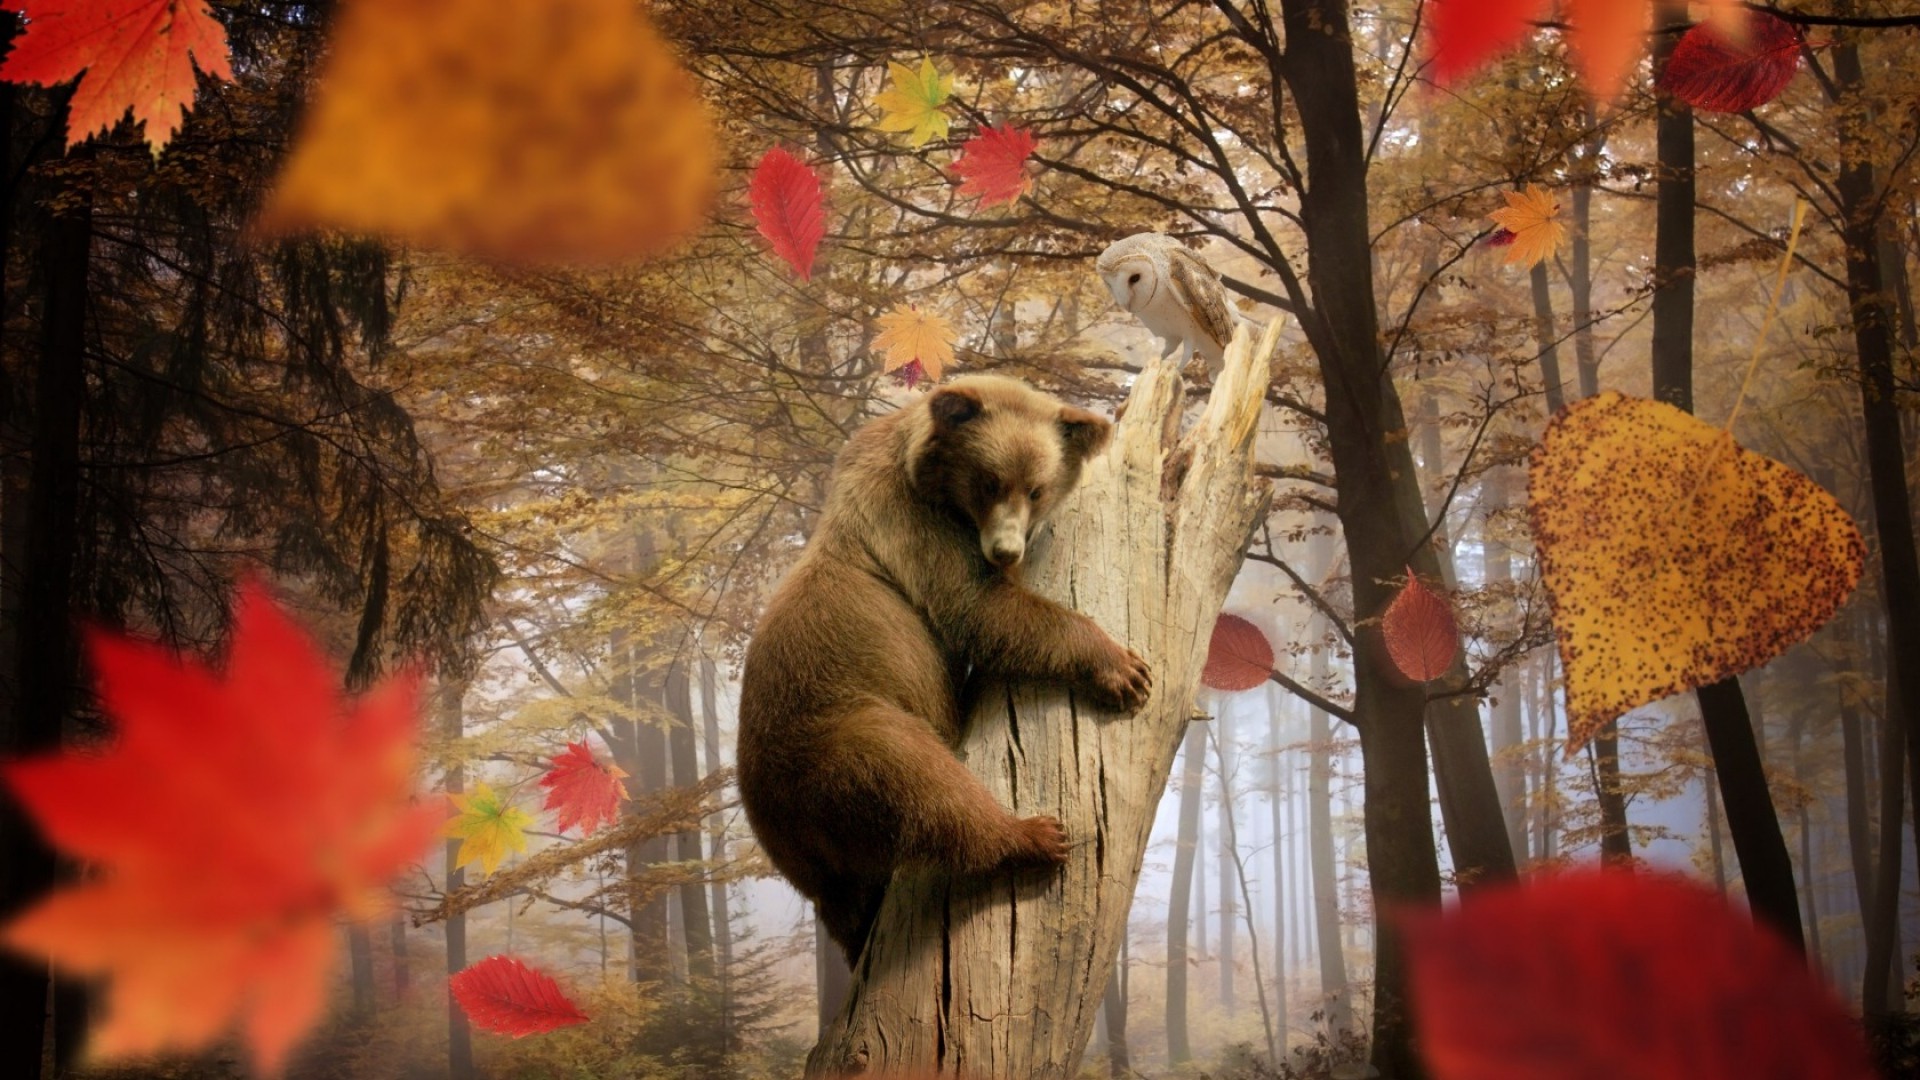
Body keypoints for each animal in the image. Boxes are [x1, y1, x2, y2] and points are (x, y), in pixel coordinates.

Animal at [736, 374, 1153, 964]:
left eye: (1036, 489)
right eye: (989, 481)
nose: (1006, 550)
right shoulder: (915, 527)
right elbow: (983, 609)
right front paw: (1125, 670)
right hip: (836, 736)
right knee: (919, 782)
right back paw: (1034, 835)